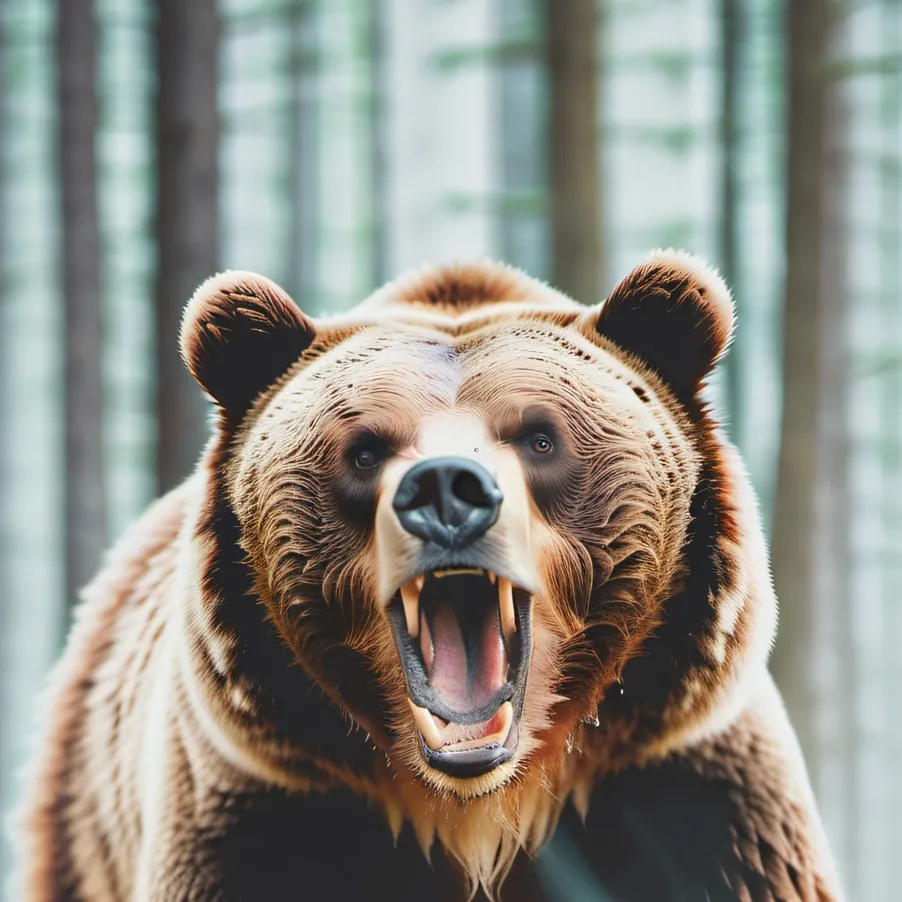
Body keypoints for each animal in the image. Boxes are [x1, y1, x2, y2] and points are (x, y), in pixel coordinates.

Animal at [14, 251, 843, 902]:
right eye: (363, 450)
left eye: (541, 437)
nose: (448, 488)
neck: (476, 810)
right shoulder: (264, 813)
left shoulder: (687, 799)